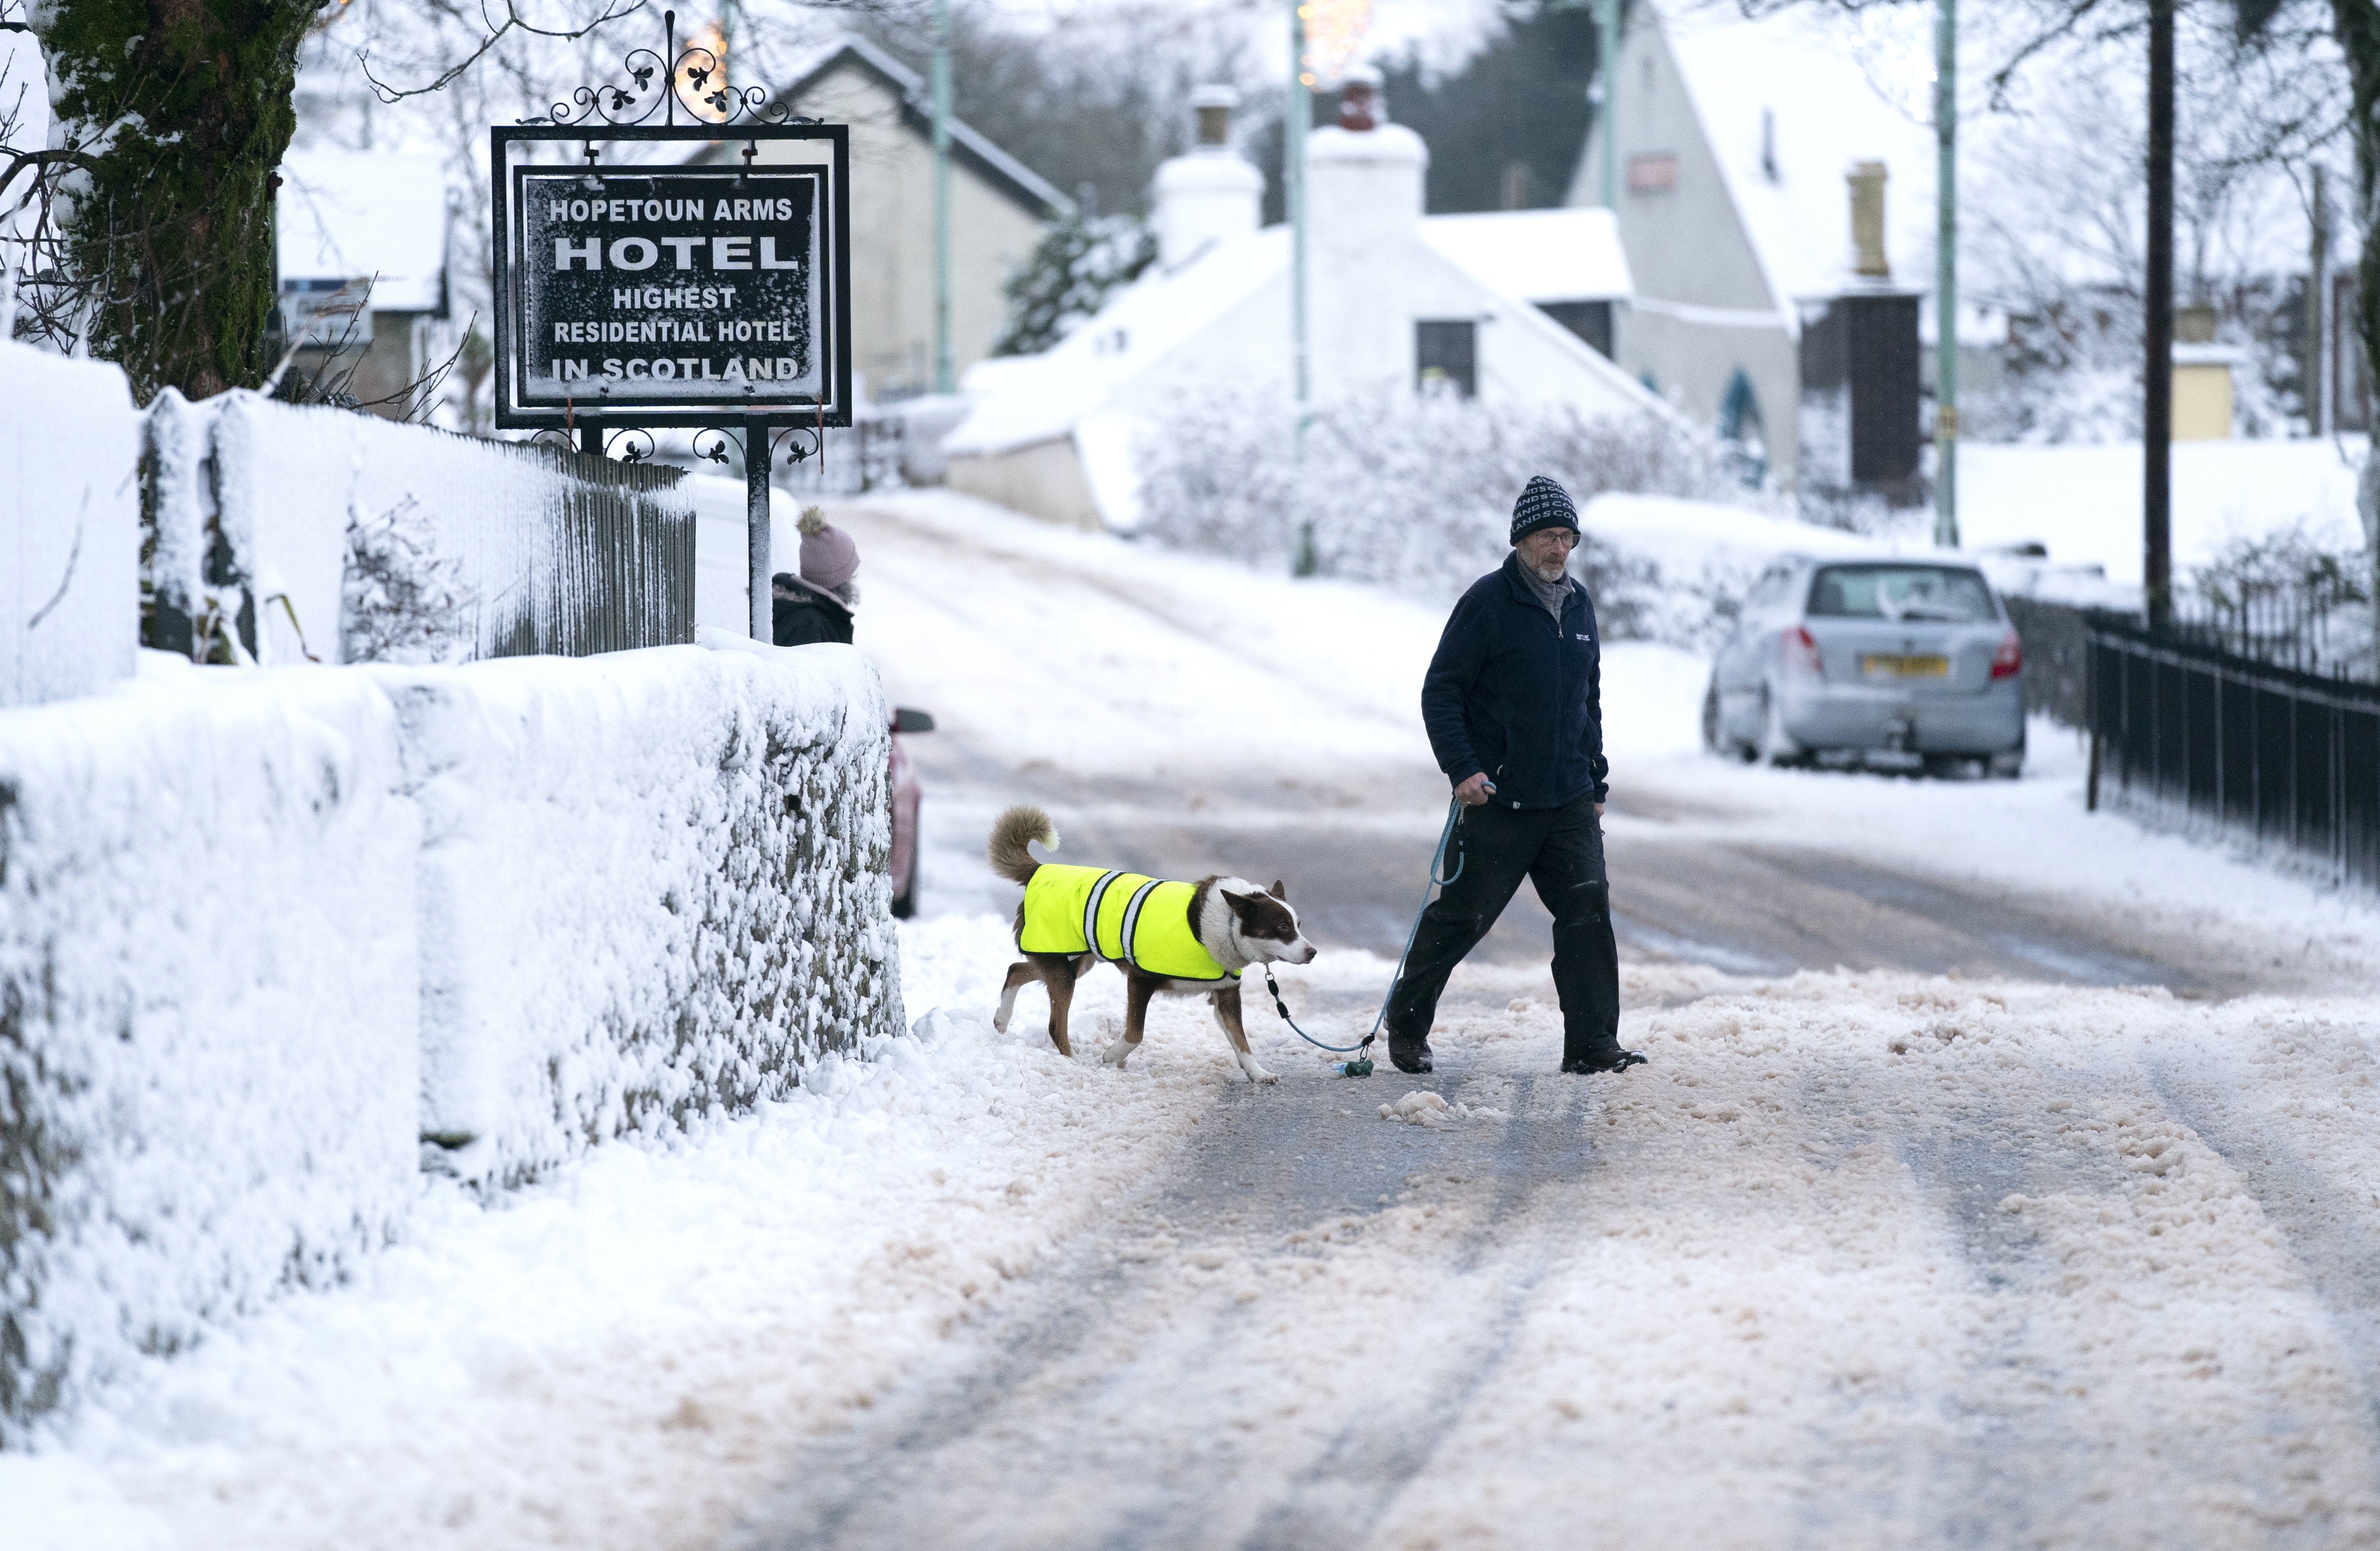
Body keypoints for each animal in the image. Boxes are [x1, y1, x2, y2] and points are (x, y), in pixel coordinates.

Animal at [985, 805, 1323, 1086]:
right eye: (1282, 927)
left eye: (1298, 924)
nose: (1313, 952)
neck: (1223, 924)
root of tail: (1038, 871)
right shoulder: (1141, 980)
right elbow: (1135, 1034)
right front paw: (1112, 1056)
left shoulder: (1226, 994)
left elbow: (1242, 1041)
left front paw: (1259, 1073)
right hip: (1062, 966)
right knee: (1056, 1024)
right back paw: (1074, 1064)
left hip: (1073, 961)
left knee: (1016, 969)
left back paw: (1001, 1021)